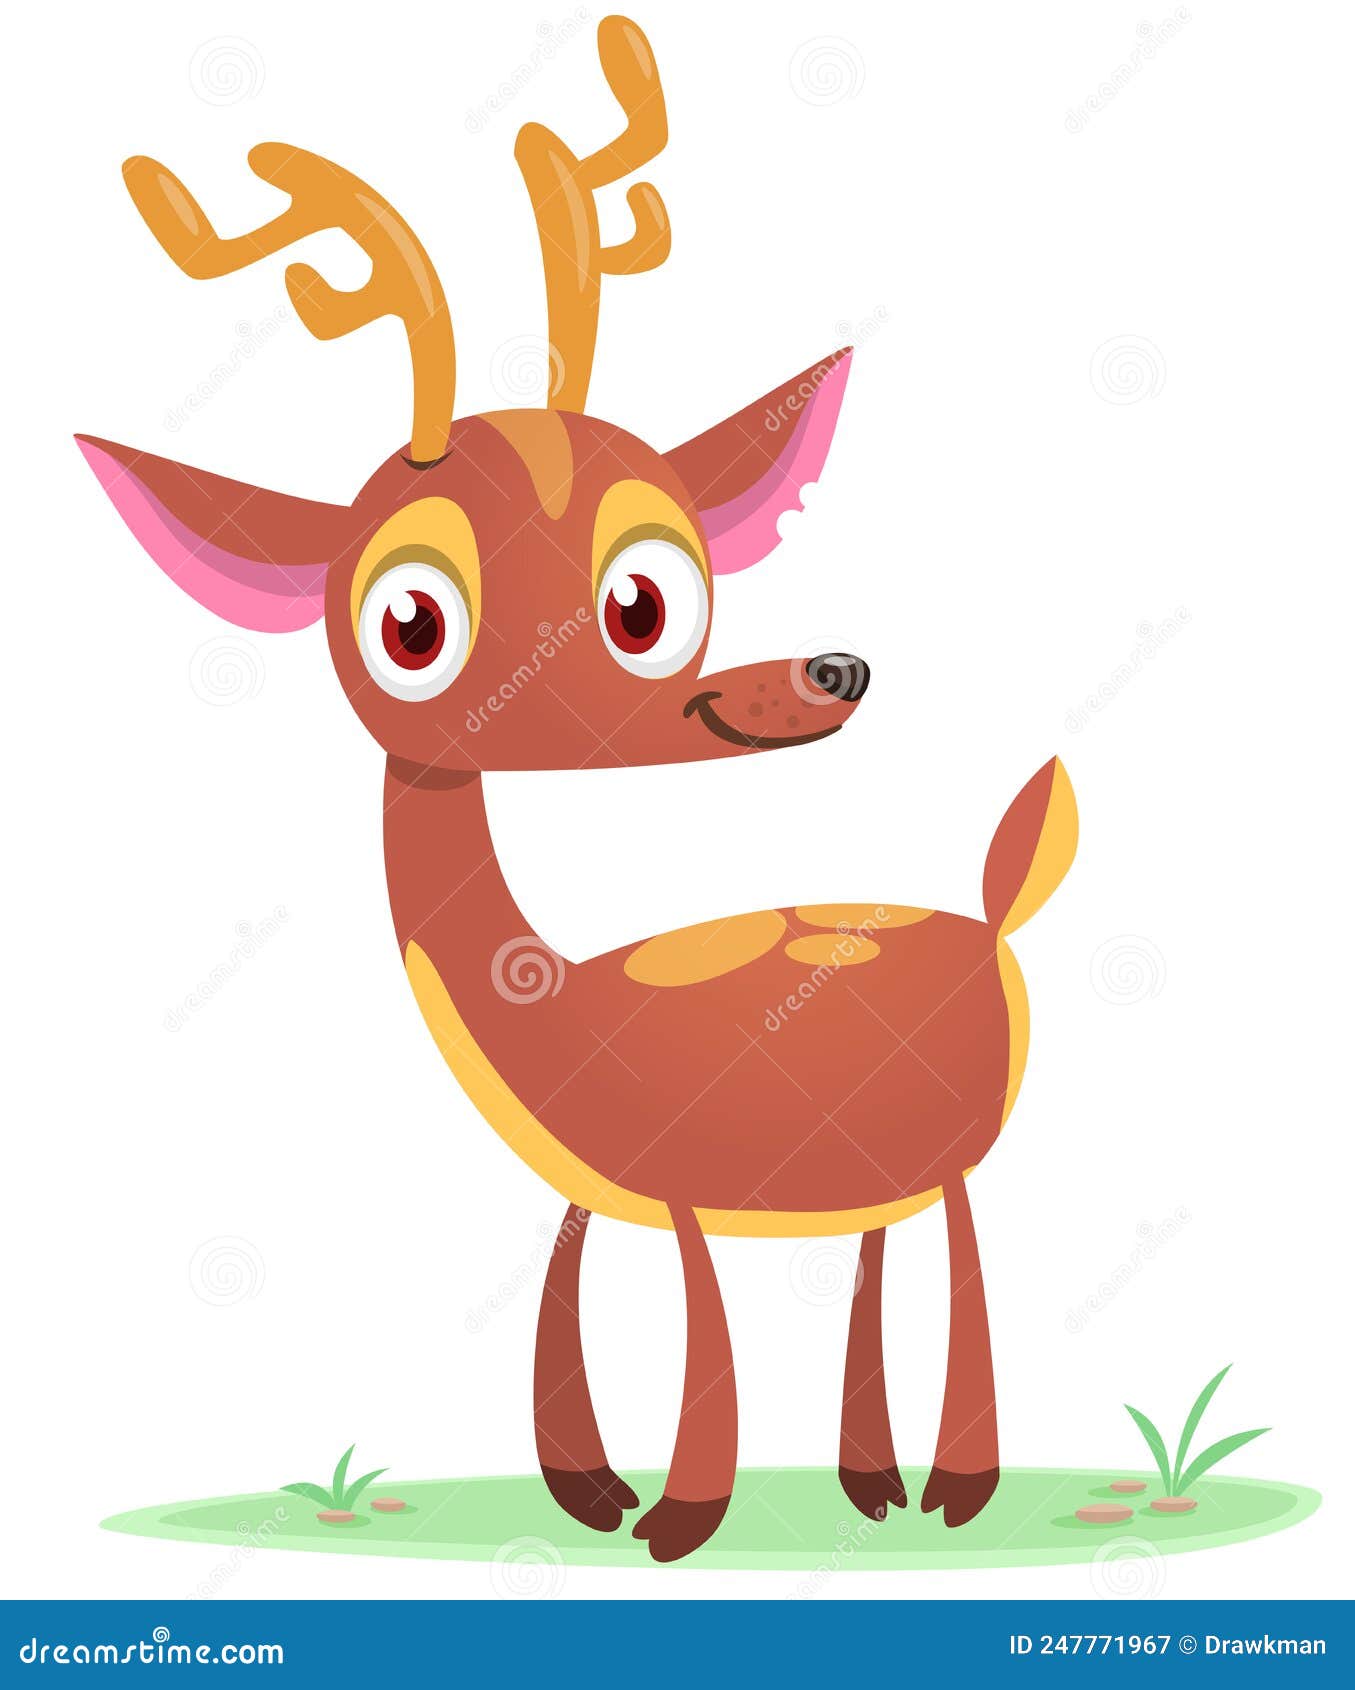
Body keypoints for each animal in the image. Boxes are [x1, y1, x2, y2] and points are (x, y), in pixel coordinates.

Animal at [77, 16, 1077, 1562]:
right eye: (410, 623)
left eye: (646, 596)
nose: (832, 671)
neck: (556, 1011)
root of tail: (988, 908)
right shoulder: (596, 1186)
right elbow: (561, 1288)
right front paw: (591, 1501)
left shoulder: (675, 1183)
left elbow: (703, 1330)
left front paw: (683, 1518)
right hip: (876, 1167)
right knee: (874, 1255)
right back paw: (868, 1484)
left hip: (955, 1158)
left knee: (960, 1255)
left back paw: (953, 1492)